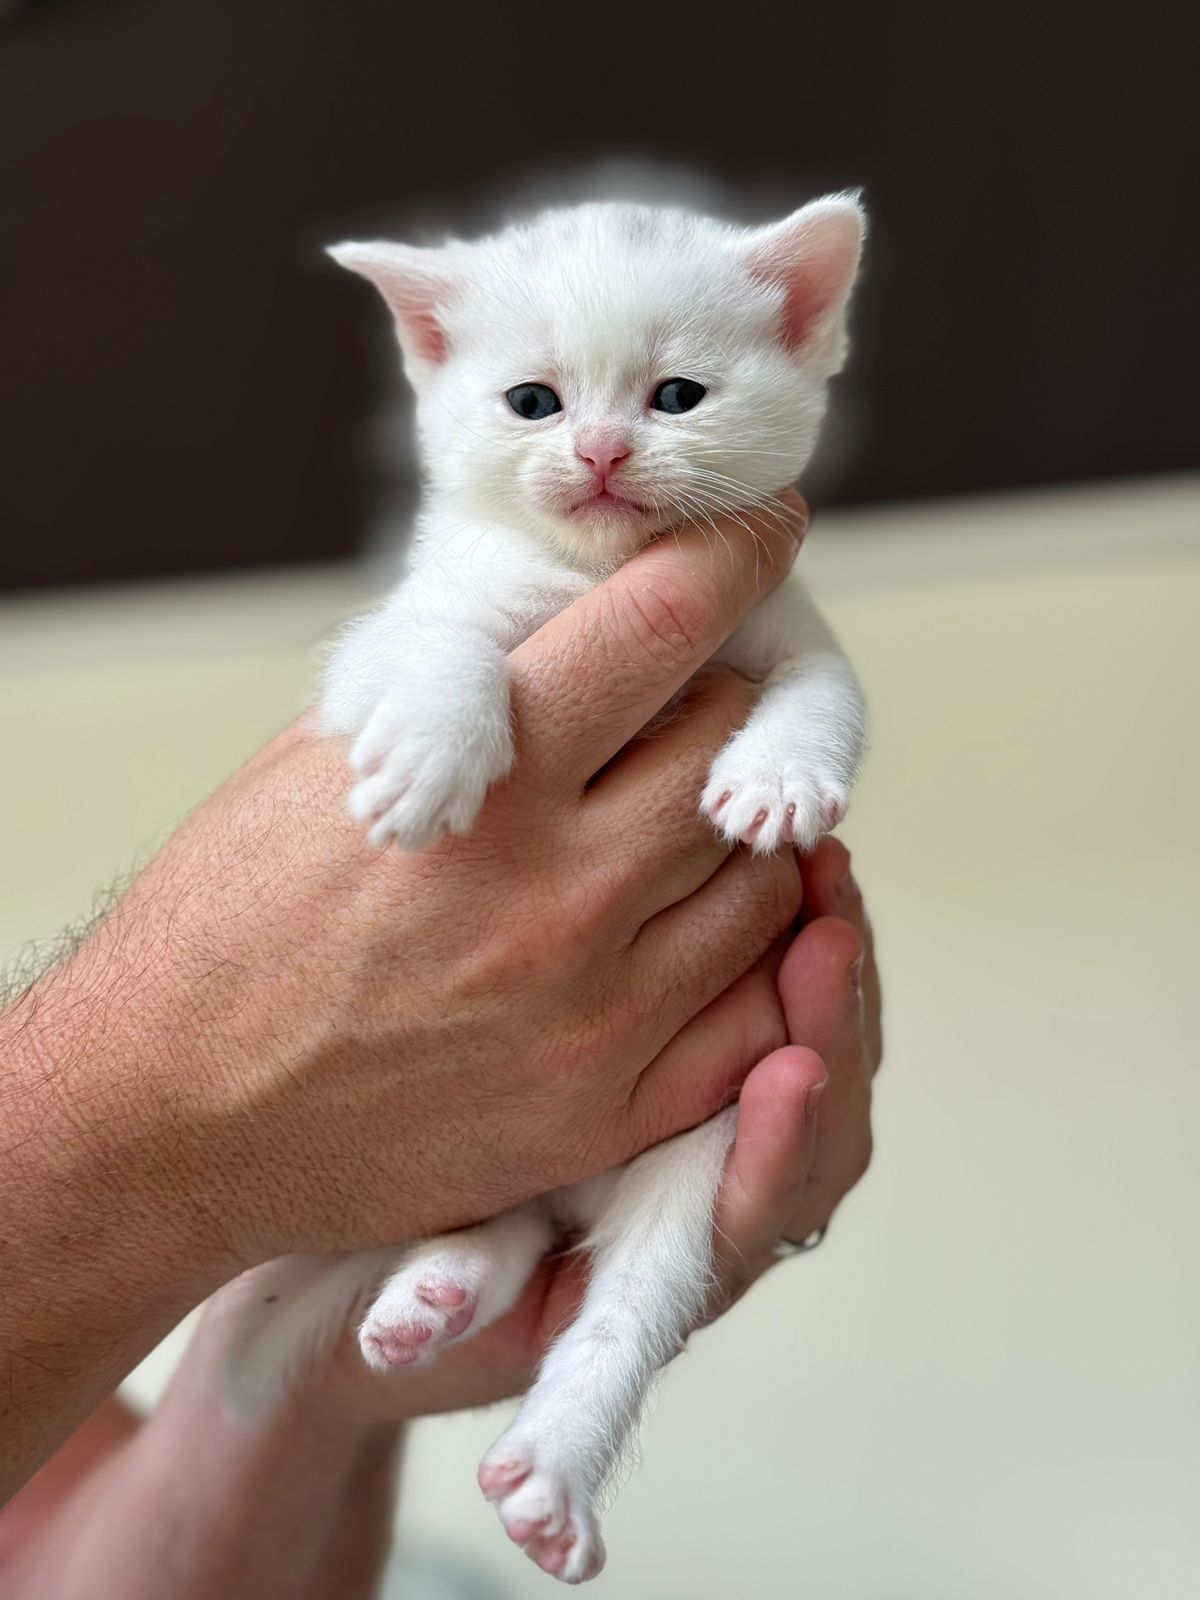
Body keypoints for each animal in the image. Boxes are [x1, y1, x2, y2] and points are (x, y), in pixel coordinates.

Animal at [227, 193, 864, 1580]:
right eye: (533, 401)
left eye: (677, 395)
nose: (604, 450)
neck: (594, 579)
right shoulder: (394, 632)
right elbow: (441, 645)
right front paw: (430, 753)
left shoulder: (789, 622)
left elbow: (826, 693)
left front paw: (780, 776)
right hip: (472, 1147)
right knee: (502, 1220)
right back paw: (437, 1293)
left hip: (692, 1157)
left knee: (623, 1303)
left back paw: (549, 1467)